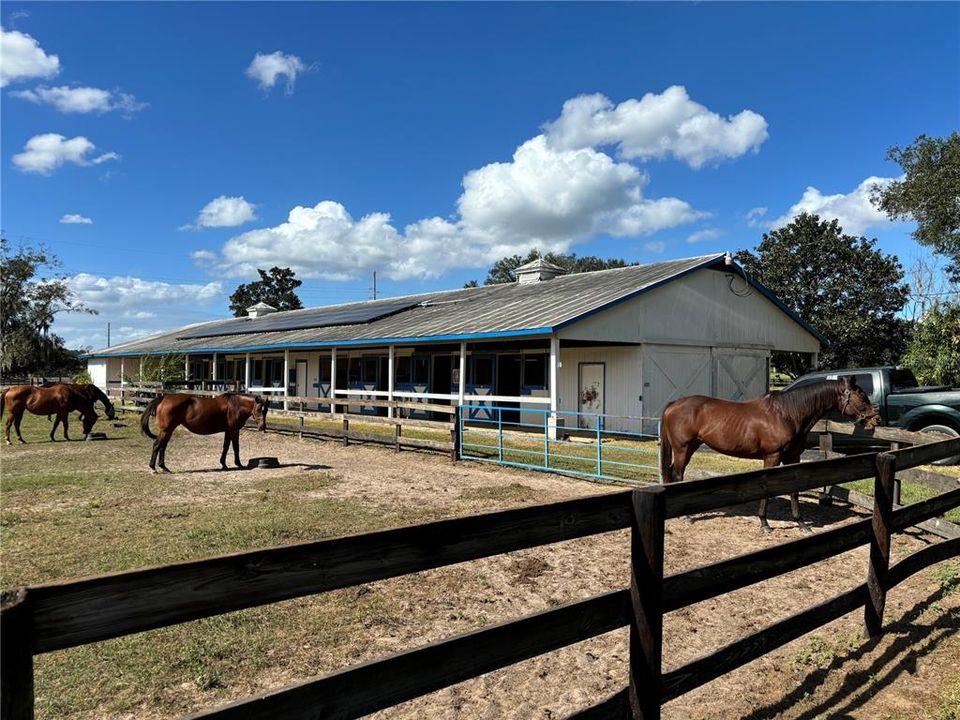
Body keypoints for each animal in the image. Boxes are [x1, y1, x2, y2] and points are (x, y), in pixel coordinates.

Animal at [139, 394, 268, 472]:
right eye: (258, 409)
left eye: (266, 410)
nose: (262, 427)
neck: (235, 405)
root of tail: (164, 398)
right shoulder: (234, 430)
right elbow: (236, 447)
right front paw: (239, 464)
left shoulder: (228, 431)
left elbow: (226, 447)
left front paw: (224, 464)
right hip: (166, 430)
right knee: (157, 445)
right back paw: (153, 468)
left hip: (168, 430)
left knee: (163, 446)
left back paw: (164, 467)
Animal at [660, 380, 876, 532]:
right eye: (861, 396)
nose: (875, 419)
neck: (787, 414)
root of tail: (674, 404)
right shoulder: (772, 456)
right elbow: (767, 490)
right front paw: (764, 523)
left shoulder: (792, 458)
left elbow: (794, 490)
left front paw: (801, 523)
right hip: (683, 449)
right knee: (678, 475)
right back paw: (686, 516)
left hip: (690, 447)